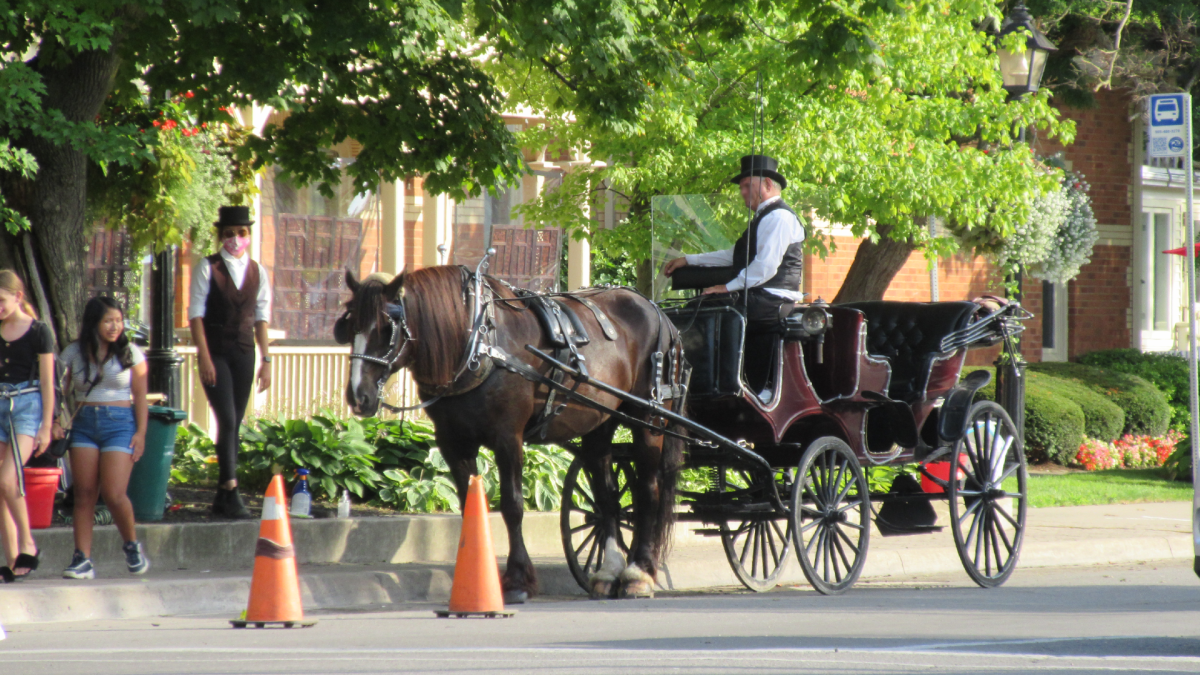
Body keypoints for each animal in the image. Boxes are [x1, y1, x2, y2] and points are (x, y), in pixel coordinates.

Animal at [343, 264, 691, 598]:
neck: (477, 346)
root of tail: (655, 310)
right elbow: (471, 505)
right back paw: (609, 572)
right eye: (349, 325)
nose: (358, 396)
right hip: (600, 422)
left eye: (387, 328)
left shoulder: (508, 436)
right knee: (608, 499)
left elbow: (512, 506)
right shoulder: (453, 443)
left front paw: (517, 580)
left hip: (649, 420)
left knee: (648, 491)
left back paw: (638, 573)